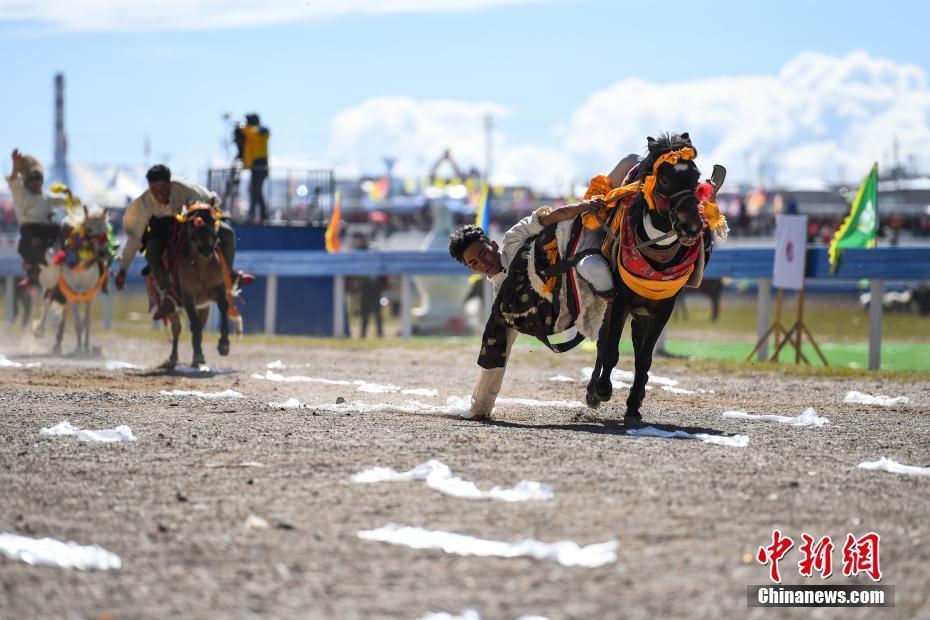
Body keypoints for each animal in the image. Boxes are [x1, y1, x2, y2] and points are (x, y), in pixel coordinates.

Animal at [32, 185, 114, 354]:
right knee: (48, 304)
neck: (81, 269)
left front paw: (86, 348)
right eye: (89, 229)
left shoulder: (90, 295)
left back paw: (58, 343)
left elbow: (87, 323)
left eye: (105, 229)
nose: (104, 252)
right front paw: (79, 350)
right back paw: (41, 332)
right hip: (53, 288)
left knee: (65, 313)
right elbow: (78, 324)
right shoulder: (71, 294)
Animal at [161, 202, 245, 368]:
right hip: (172, 304)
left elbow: (223, 308)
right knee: (177, 329)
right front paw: (198, 353)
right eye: (192, 224)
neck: (202, 267)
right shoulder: (188, 296)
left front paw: (224, 344)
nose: (207, 248)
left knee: (200, 323)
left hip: (204, 306)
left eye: (213, 221)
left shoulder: (219, 290)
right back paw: (174, 358)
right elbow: (193, 325)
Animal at [584, 133, 728, 418]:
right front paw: (603, 390)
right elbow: (611, 349)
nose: (691, 226)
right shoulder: (621, 299)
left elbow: (645, 356)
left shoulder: (665, 305)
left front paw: (633, 405)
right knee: (604, 342)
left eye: (696, 176)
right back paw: (593, 391)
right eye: (664, 179)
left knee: (638, 344)